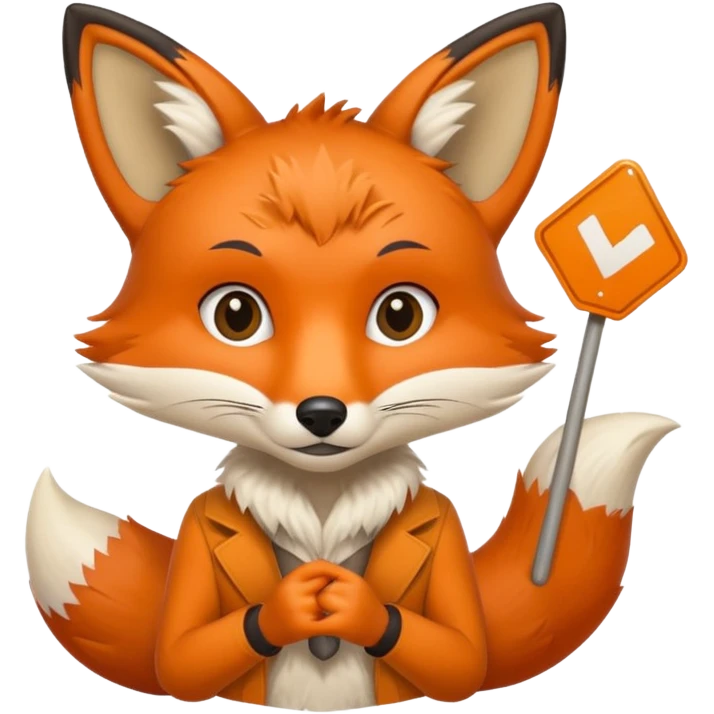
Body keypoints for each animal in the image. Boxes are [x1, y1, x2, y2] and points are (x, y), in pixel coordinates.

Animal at [27, 1, 679, 710]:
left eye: (400, 316)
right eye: (236, 315)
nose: (321, 412)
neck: (321, 511)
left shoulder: (443, 536)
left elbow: (464, 659)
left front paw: (353, 606)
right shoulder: (200, 537)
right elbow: (177, 661)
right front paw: (292, 604)